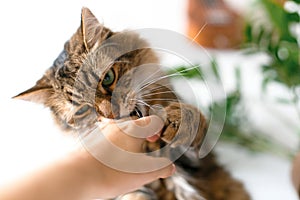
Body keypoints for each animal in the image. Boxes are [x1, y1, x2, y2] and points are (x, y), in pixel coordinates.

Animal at [14, 7, 250, 200]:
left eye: (108, 78)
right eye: (82, 110)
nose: (111, 113)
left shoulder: (193, 160)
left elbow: (192, 118)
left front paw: (175, 122)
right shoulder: (129, 188)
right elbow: (134, 194)